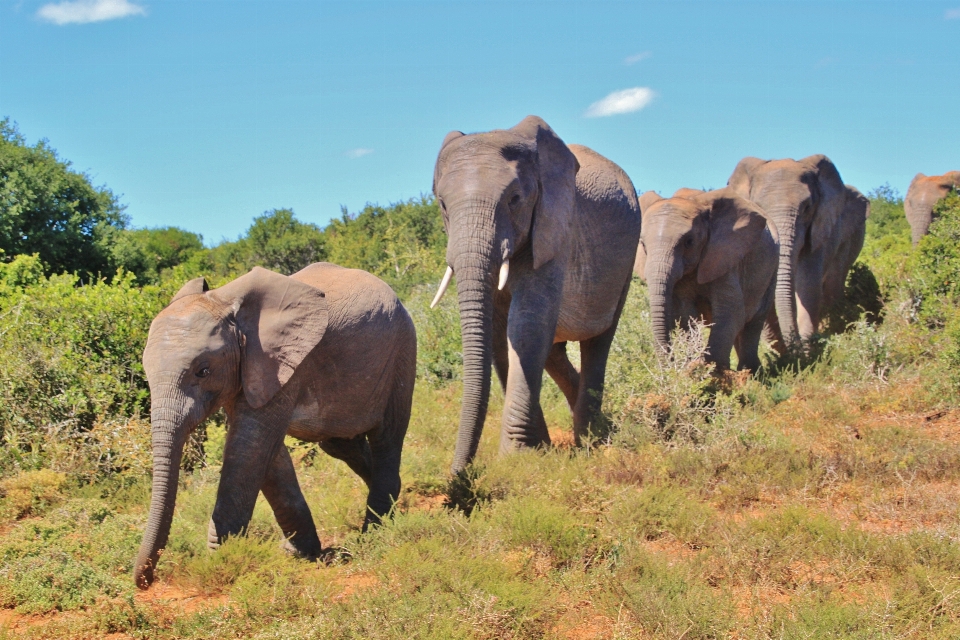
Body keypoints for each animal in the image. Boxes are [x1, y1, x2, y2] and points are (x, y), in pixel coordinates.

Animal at [134, 262, 416, 588]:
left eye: (203, 371)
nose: (145, 581)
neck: (226, 303)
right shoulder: (252, 369)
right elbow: (267, 456)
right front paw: (299, 553)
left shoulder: (281, 362)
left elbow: (249, 448)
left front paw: (223, 561)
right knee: (340, 444)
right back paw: (396, 502)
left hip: (402, 350)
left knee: (387, 436)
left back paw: (374, 532)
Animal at [432, 116, 640, 476]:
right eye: (443, 204)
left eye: (515, 199)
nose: (460, 475)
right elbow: (499, 335)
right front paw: (538, 450)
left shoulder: (554, 227)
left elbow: (527, 325)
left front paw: (517, 457)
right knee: (554, 351)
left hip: (625, 260)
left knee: (599, 340)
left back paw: (591, 438)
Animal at [636, 186, 780, 370]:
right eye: (643, 245)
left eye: (689, 242)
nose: (671, 363)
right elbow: (684, 314)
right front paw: (693, 367)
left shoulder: (724, 255)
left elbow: (731, 310)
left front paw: (712, 371)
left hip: (772, 269)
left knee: (754, 321)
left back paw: (750, 371)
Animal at [728, 155, 848, 350]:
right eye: (759, 208)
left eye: (807, 207)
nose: (794, 347)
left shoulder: (817, 229)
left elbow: (808, 284)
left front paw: (806, 351)